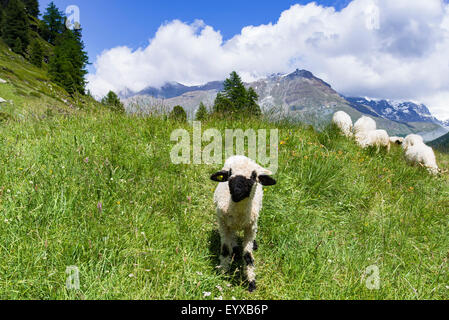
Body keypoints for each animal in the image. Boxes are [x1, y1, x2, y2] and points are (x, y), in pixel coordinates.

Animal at [210, 155, 276, 292]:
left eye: (253, 176)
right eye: (230, 173)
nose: (236, 192)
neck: (239, 213)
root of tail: (241, 156)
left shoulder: (250, 227)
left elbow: (248, 256)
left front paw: (251, 282)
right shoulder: (223, 224)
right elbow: (225, 249)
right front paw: (223, 273)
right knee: (233, 235)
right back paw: (235, 248)